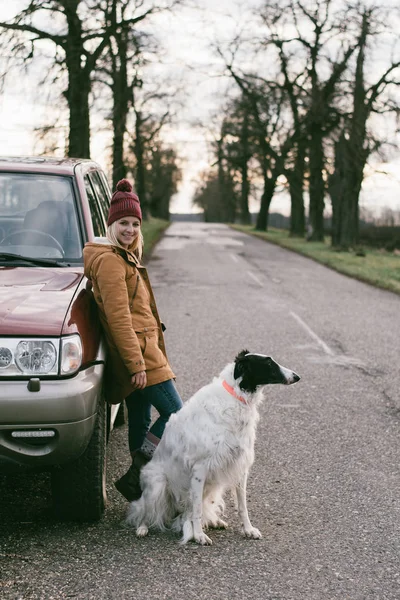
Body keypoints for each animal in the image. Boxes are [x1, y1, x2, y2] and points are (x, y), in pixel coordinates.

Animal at [126, 350, 300, 548]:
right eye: (269, 364)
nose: (297, 376)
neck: (236, 395)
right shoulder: (199, 470)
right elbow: (197, 511)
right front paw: (199, 536)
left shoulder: (240, 466)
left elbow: (242, 507)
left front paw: (248, 530)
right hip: (157, 485)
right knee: (146, 511)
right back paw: (142, 528)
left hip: (212, 485)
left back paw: (214, 522)